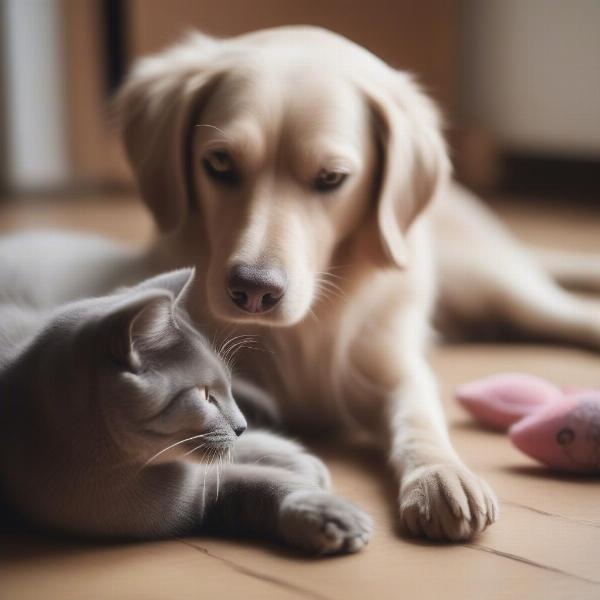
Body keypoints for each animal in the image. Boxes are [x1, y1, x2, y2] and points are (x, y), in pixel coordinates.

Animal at [0, 264, 370, 556]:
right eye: (205, 396)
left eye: (218, 390)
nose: (241, 425)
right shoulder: (195, 496)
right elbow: (258, 479)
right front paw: (329, 514)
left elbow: (258, 472)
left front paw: (301, 468)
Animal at [115, 25, 596, 540]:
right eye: (220, 163)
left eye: (331, 178)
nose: (254, 291)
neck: (303, 331)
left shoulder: (394, 364)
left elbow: (418, 417)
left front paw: (440, 473)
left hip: (499, 285)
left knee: (570, 312)